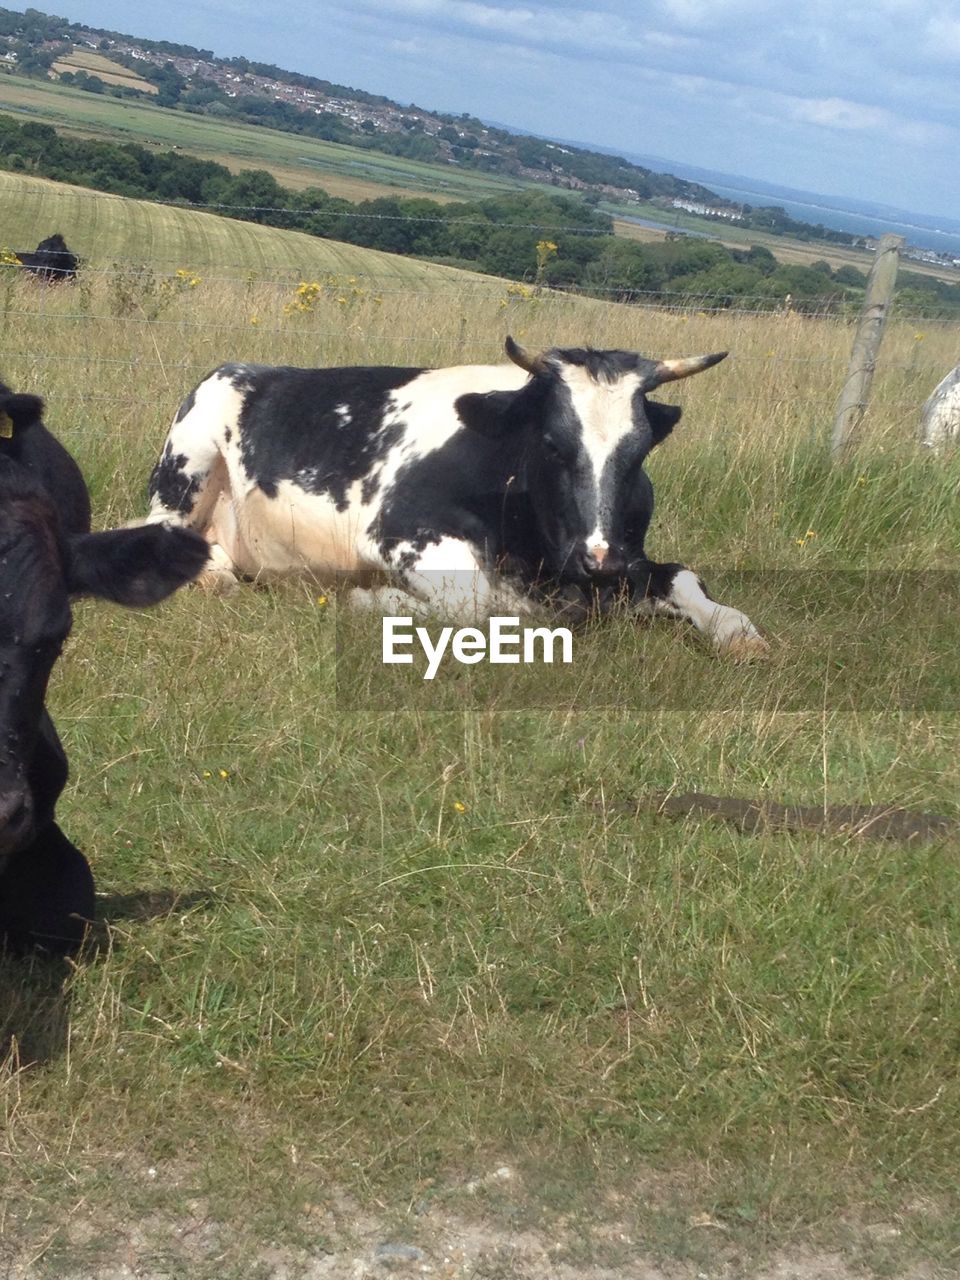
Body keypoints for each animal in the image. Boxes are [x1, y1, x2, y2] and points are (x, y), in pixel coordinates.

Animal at [142, 335, 768, 655]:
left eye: (640, 450)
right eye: (552, 443)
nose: (599, 559)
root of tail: (244, 367)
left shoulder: (626, 558)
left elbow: (682, 576)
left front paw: (738, 633)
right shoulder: (399, 534)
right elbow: (473, 604)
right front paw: (371, 600)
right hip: (189, 462)